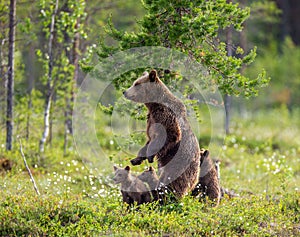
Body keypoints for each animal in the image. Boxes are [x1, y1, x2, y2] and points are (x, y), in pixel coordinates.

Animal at [122, 69, 202, 199]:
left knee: (174, 183)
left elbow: (170, 135)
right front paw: (137, 159)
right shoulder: (151, 119)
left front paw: (150, 156)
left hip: (179, 165)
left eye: (137, 84)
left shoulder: (166, 117)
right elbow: (149, 139)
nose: (125, 92)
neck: (155, 105)